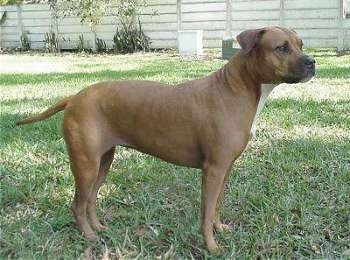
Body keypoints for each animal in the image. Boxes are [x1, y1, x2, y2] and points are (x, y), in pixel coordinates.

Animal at [17, 26, 314, 252]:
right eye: (282, 48)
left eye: (300, 44)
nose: (312, 62)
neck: (238, 87)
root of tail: (74, 98)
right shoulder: (213, 170)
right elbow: (206, 211)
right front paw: (211, 247)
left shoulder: (226, 168)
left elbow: (216, 207)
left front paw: (219, 229)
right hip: (85, 165)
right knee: (77, 204)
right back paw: (89, 236)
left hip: (102, 162)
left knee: (90, 199)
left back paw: (98, 227)